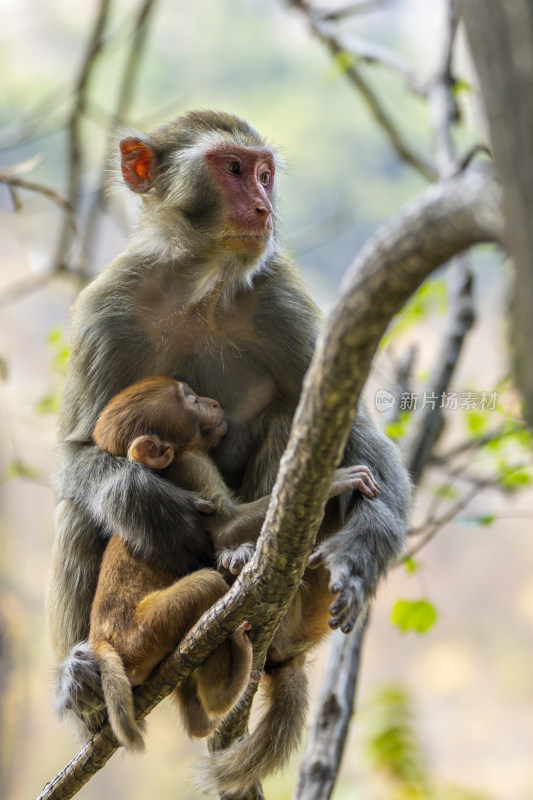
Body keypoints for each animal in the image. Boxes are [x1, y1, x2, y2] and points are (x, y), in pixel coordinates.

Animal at [47, 111, 410, 788]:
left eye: (264, 173)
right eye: (234, 169)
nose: (263, 205)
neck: (200, 284)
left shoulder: (283, 298)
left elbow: (356, 432)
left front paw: (359, 555)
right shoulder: (105, 307)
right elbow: (79, 451)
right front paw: (144, 499)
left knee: (293, 416)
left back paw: (252, 572)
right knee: (81, 510)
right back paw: (84, 684)